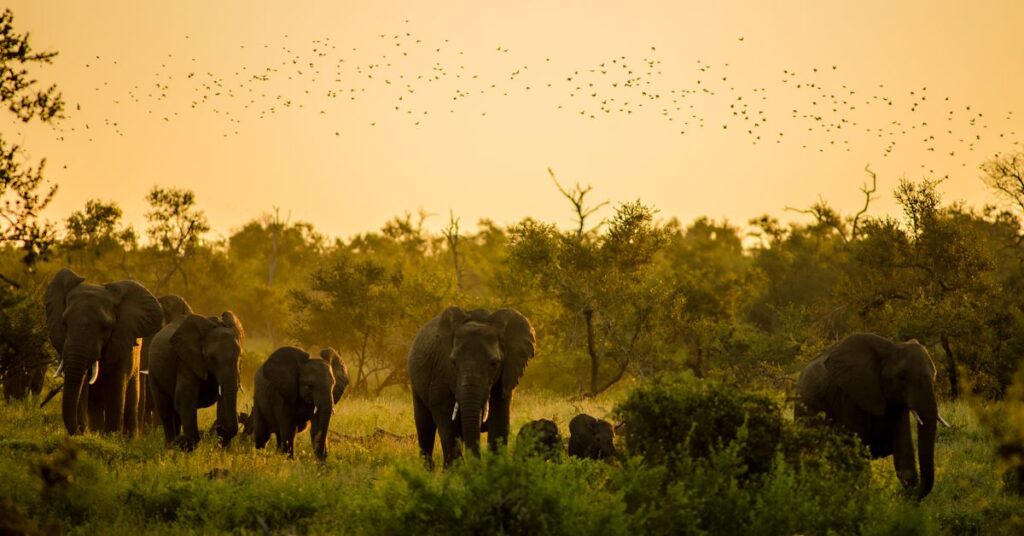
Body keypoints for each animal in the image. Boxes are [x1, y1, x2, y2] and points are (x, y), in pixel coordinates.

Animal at [44, 268, 164, 435]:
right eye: (64, 323)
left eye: (105, 327)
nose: (80, 431)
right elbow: (83, 388)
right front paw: (93, 434)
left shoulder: (120, 343)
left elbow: (116, 388)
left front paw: (111, 436)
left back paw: (128, 437)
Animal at [147, 311, 245, 450]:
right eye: (212, 358)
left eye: (240, 356)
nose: (220, 428)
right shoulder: (186, 361)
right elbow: (184, 398)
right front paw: (186, 445)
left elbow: (223, 400)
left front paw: (224, 449)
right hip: (153, 372)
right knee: (165, 409)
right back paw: (170, 445)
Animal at [408, 307, 535, 467]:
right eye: (453, 362)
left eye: (494, 363)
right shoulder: (440, 372)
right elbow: (447, 424)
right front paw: (457, 472)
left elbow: (499, 422)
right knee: (425, 426)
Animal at [795, 332, 949, 500]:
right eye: (901, 377)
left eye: (935, 374)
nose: (902, 495)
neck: (890, 347)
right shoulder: (850, 396)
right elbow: (856, 458)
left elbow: (903, 455)